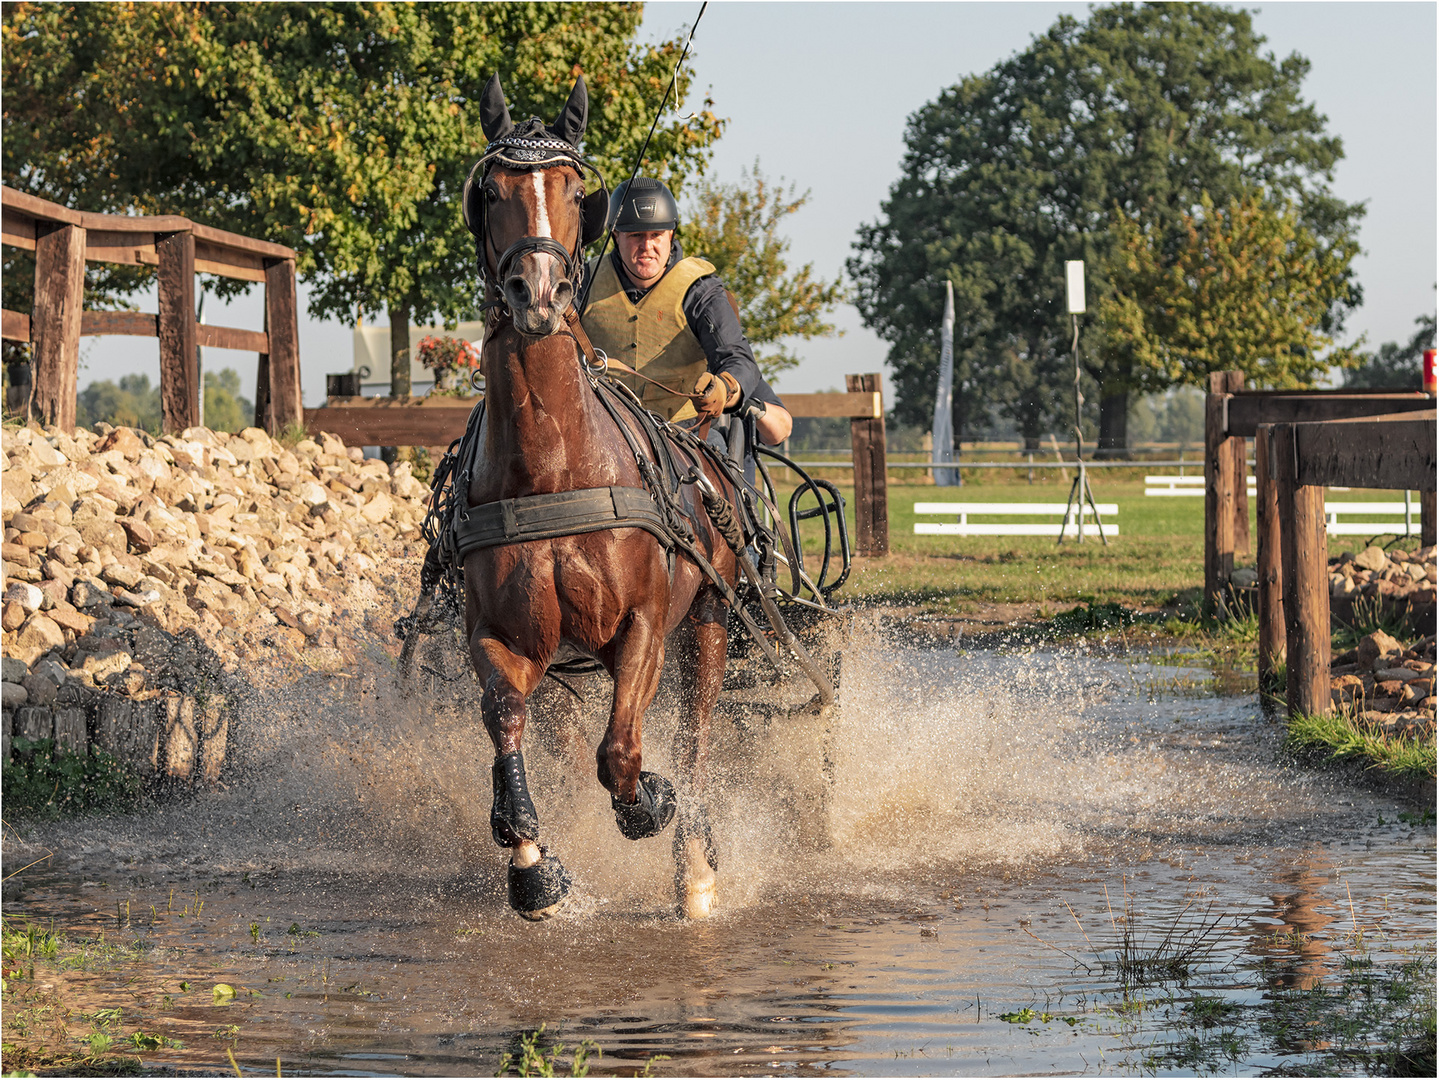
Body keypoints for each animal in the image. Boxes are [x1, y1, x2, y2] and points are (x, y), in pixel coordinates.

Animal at [460, 74, 736, 920]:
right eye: (489, 190)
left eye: (578, 192)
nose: (538, 293)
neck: (551, 467)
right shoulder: (500, 637)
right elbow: (505, 721)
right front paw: (529, 862)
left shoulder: (644, 622)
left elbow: (621, 754)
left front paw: (649, 801)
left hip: (707, 624)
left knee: (696, 740)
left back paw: (694, 866)